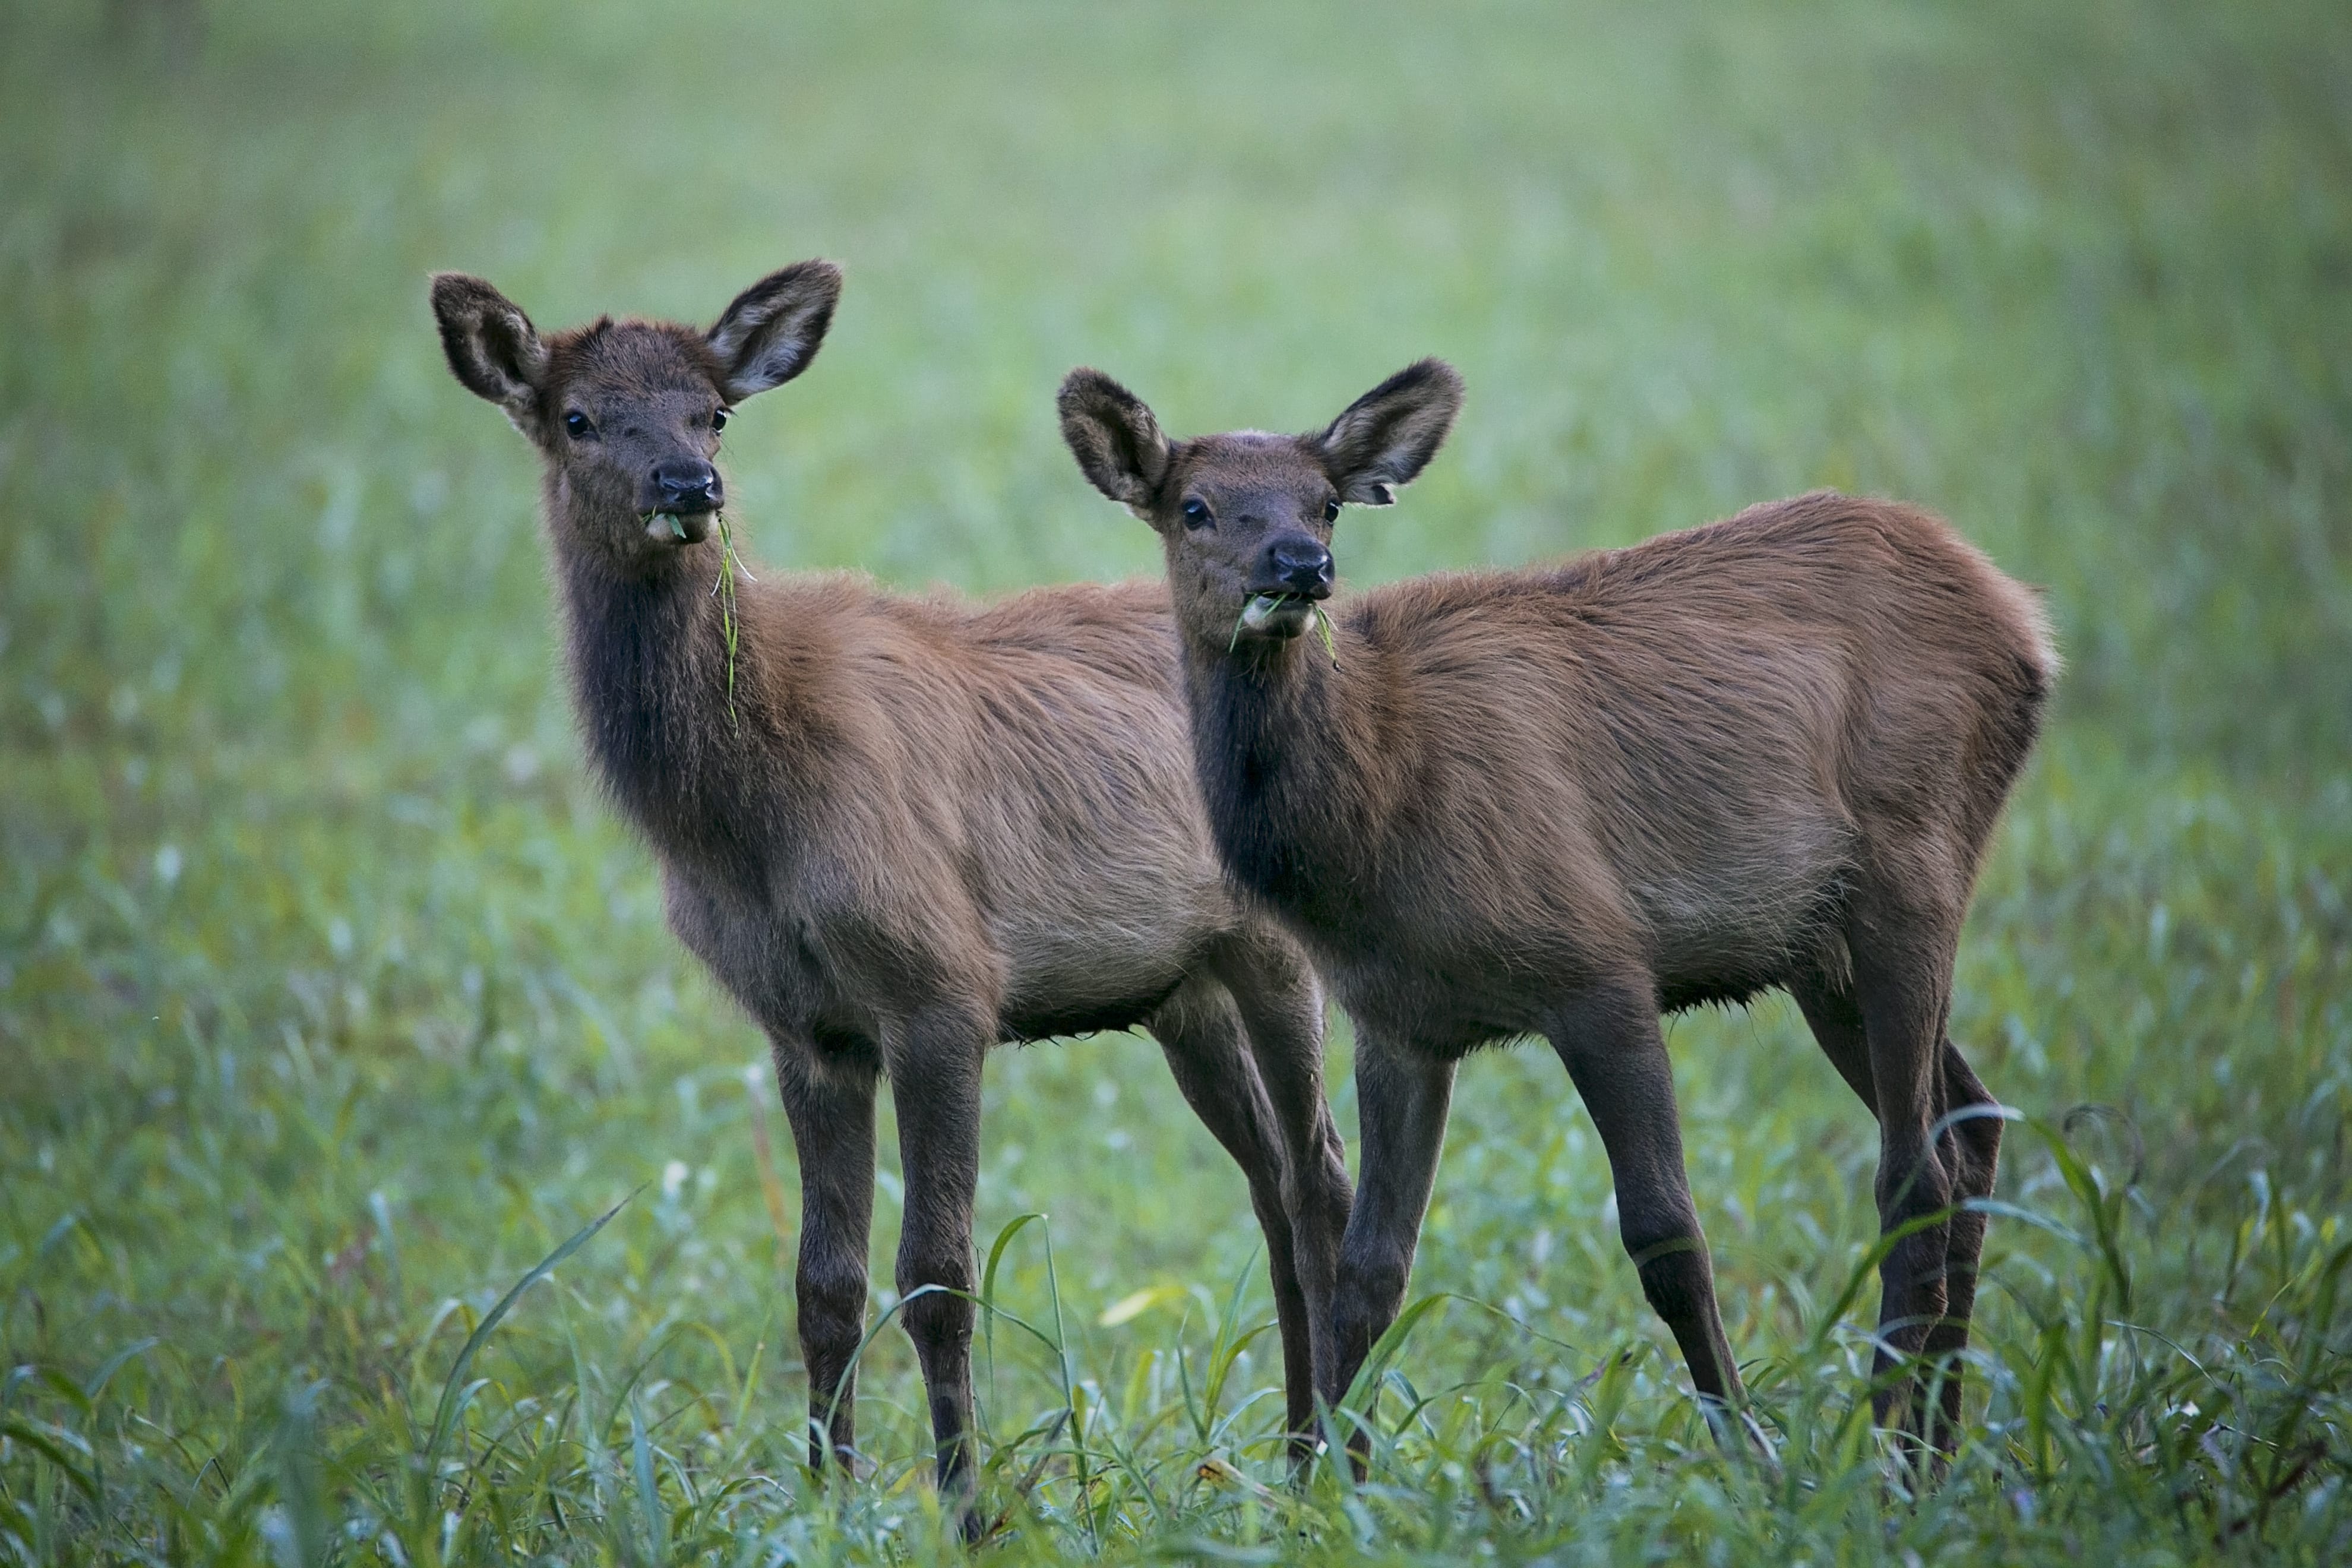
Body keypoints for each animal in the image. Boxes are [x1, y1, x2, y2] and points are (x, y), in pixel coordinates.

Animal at [428, 263, 1355, 1531]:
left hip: (1273, 947)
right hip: (1183, 991)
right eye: (577, 417)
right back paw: (1293, 1457)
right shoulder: (804, 1026)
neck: (741, 820)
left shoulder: (940, 984)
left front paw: (969, 1511)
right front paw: (826, 1499)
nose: (690, 486)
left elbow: (938, 1278)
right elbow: (824, 1280)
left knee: (1320, 1179)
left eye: (713, 412)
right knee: (1270, 1183)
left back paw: (1330, 1462)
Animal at [1058, 358, 2054, 1463]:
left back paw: (1886, 1456)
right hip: (1822, 948)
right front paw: (1333, 1482)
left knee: (1917, 1172)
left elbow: (1666, 1237)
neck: (1377, 815)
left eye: (1324, 502)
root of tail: (2024, 620)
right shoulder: (1398, 1021)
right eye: (1194, 507)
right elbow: (1372, 1267)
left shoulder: (1601, 966)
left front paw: (1748, 1455)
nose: (1300, 564)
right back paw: (1937, 1449)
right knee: (1973, 1127)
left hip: (1914, 864)